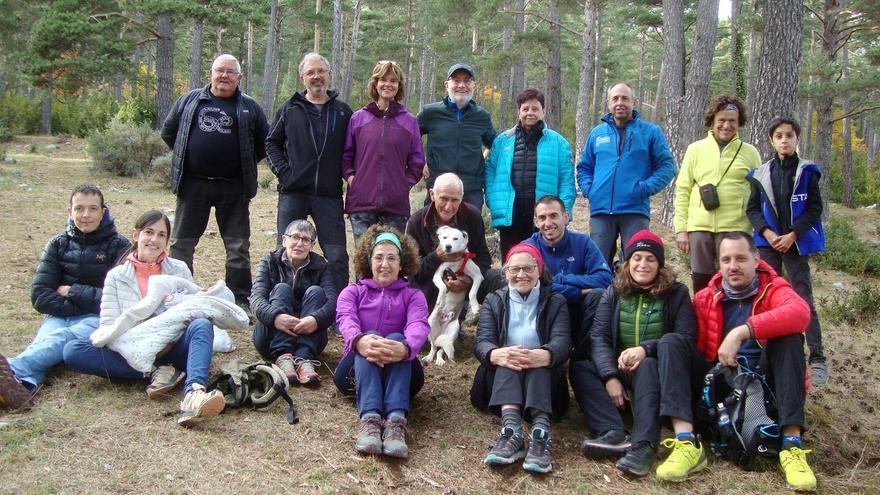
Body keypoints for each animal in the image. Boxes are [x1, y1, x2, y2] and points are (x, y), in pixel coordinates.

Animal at [424, 226, 484, 364]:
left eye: (455, 238)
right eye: (444, 237)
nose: (448, 246)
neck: (455, 262)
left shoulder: (478, 276)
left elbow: (472, 292)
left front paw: (475, 307)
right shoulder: (438, 275)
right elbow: (443, 287)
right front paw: (441, 299)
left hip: (453, 331)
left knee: (441, 349)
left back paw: (440, 360)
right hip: (430, 324)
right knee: (434, 346)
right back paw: (429, 357)